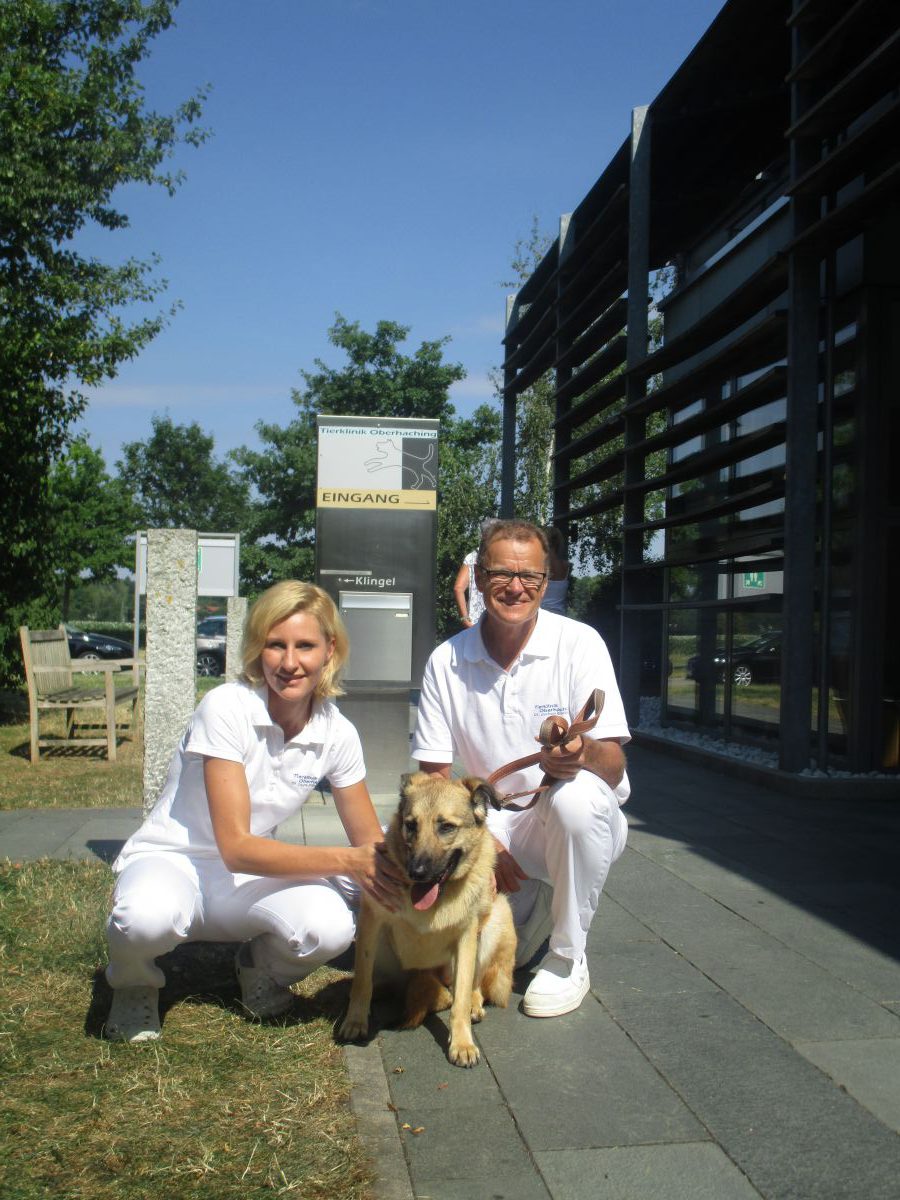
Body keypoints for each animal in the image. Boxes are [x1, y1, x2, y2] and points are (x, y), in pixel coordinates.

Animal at [340, 768, 518, 1070]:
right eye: (411, 825)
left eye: (446, 827)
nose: (417, 872)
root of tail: (426, 976)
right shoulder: (371, 922)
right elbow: (361, 982)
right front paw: (355, 1021)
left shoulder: (467, 936)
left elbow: (460, 999)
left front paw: (462, 1043)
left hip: (497, 916)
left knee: (470, 986)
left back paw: (474, 1003)